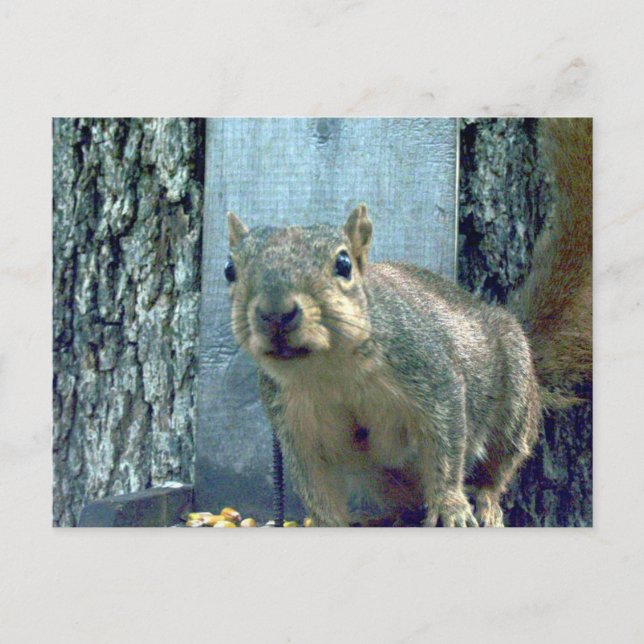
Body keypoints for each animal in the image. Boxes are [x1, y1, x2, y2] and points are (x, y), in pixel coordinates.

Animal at [224, 118, 592, 527]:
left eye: (343, 264)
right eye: (229, 270)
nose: (275, 313)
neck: (331, 372)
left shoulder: (431, 375)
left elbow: (446, 447)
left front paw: (450, 507)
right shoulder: (295, 422)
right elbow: (315, 485)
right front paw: (328, 523)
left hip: (512, 400)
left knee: (498, 466)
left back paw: (485, 502)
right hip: (380, 477)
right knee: (404, 501)